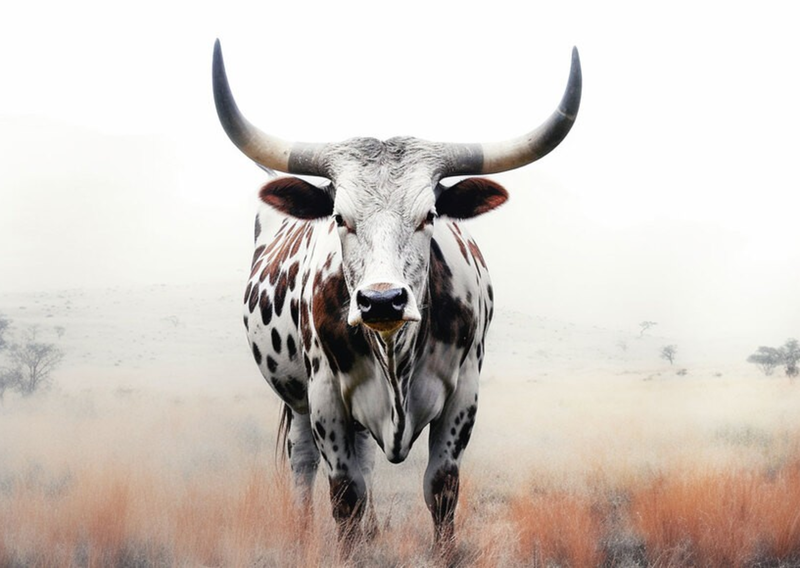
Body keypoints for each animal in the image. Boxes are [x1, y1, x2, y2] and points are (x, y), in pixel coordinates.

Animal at [212, 39, 581, 553]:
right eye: (339, 217)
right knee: (303, 463)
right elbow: (345, 496)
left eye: (429, 215)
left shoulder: (463, 396)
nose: (382, 301)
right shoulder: (325, 399)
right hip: (297, 399)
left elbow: (440, 490)